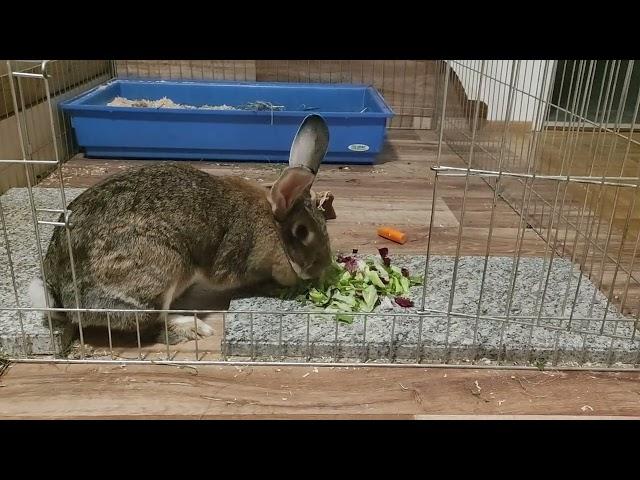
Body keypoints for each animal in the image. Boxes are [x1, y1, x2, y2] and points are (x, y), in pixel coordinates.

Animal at [28, 114, 332, 344]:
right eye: (302, 232)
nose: (322, 268)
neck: (270, 223)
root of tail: (64, 300)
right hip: (162, 266)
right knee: (150, 323)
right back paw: (193, 327)